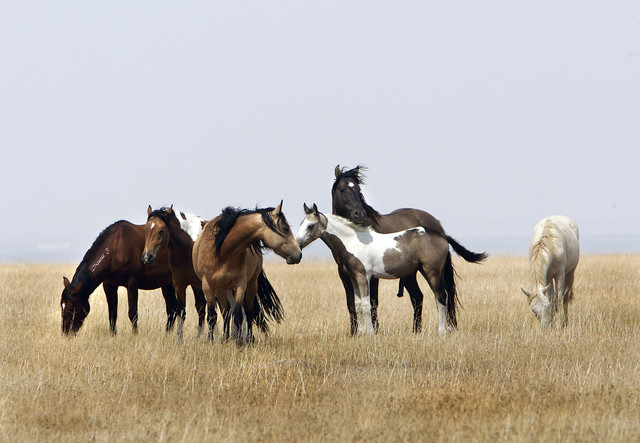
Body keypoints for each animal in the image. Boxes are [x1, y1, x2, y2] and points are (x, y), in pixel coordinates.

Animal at [141, 206, 213, 341]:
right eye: (146, 229)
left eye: (161, 230)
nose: (147, 257)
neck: (189, 246)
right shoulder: (180, 284)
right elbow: (183, 311)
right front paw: (179, 340)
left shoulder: (201, 284)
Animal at [192, 201, 301, 344]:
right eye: (285, 228)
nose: (299, 255)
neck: (222, 251)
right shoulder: (208, 286)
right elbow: (212, 316)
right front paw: (211, 342)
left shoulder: (240, 285)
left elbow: (238, 314)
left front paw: (239, 343)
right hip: (221, 288)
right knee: (226, 312)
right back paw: (226, 338)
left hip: (251, 284)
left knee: (248, 311)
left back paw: (249, 339)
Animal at [331, 165, 487, 334]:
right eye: (342, 189)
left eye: (358, 189)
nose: (359, 214)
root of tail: (437, 226)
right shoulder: (344, 274)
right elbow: (351, 304)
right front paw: (354, 332)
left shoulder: (370, 275)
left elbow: (373, 302)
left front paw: (374, 331)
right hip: (411, 272)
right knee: (418, 297)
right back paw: (416, 331)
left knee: (442, 295)